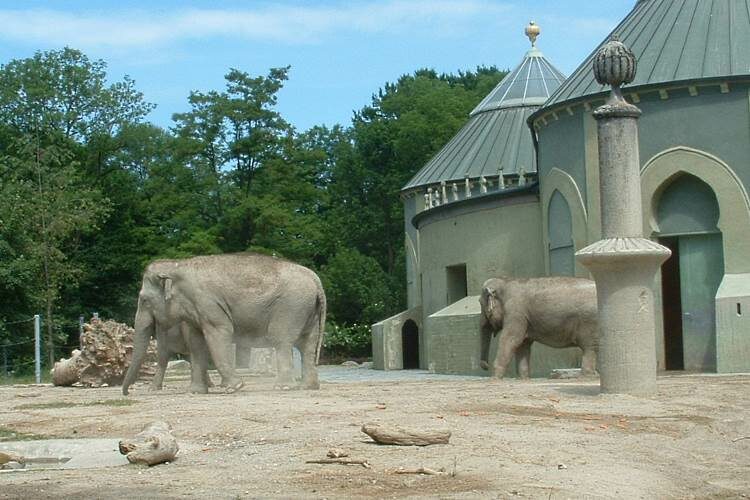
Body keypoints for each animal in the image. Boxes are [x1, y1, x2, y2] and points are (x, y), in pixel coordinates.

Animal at [122, 254, 324, 394]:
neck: (177, 265)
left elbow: (219, 333)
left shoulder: (207, 302)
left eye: (144, 300)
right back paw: (308, 387)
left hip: (291, 306)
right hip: (307, 310)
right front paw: (196, 392)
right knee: (307, 344)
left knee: (282, 340)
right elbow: (196, 342)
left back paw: (283, 387)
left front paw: (235, 387)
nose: (126, 393)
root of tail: (315, 278)